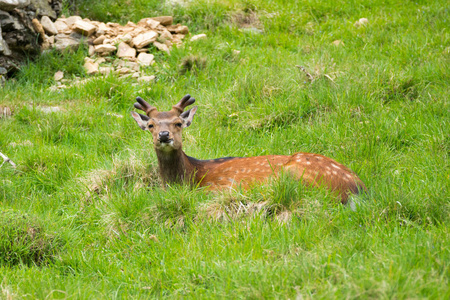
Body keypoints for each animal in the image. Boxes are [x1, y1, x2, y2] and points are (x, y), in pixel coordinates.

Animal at [131, 95, 366, 205]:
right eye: (150, 125)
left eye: (178, 123)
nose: (164, 135)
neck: (190, 176)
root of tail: (357, 188)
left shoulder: (220, 186)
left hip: (295, 174)